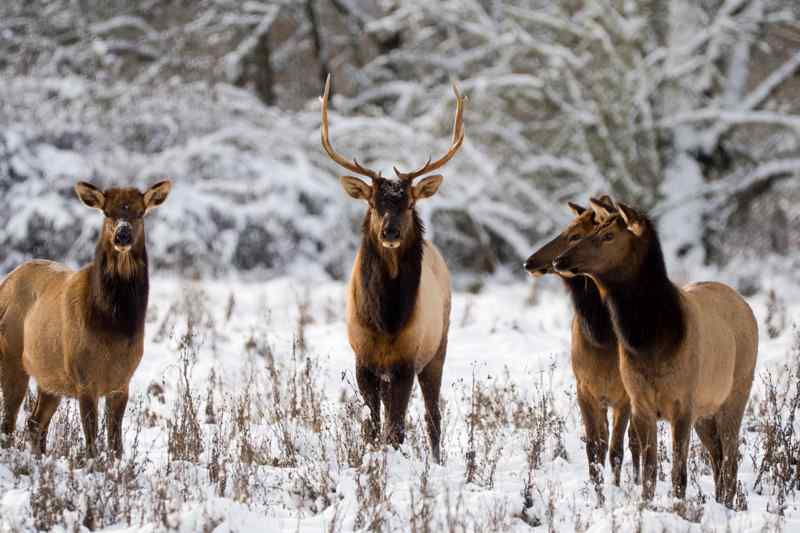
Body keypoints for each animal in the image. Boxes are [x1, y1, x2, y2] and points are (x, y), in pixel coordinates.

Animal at [0, 181, 172, 456]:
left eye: (140, 212)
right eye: (107, 213)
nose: (122, 235)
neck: (114, 327)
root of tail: (6, 281)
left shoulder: (122, 381)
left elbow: (116, 444)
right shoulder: (84, 378)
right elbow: (92, 443)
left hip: (50, 376)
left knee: (35, 422)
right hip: (11, 357)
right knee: (8, 423)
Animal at [322, 74, 466, 462]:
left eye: (410, 202)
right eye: (373, 203)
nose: (390, 231)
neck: (386, 320)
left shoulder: (406, 360)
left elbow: (396, 429)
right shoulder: (363, 360)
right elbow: (373, 426)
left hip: (439, 346)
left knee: (433, 414)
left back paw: (437, 458)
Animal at [520, 198, 640, 494]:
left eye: (575, 236)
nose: (530, 262)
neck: (601, 336)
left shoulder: (623, 395)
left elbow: (617, 450)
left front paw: (615, 492)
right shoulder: (584, 389)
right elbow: (594, 449)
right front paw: (597, 491)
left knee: (635, 442)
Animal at [552, 202, 760, 504]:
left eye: (609, 236)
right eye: (595, 229)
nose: (560, 259)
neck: (649, 344)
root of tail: (746, 305)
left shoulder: (684, 403)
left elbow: (678, 473)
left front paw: (678, 506)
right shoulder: (641, 404)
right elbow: (649, 471)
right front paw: (646, 504)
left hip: (736, 395)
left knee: (731, 459)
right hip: (706, 410)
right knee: (717, 455)